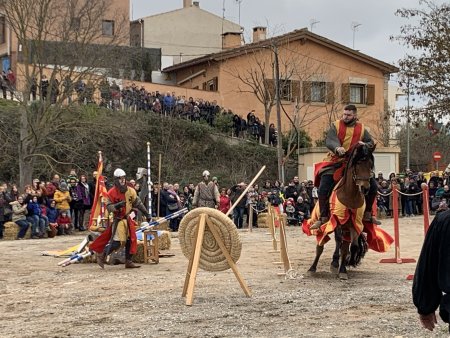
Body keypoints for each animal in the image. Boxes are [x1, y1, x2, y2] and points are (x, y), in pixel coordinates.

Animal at [308, 143, 374, 280]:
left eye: (370, 164)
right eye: (357, 163)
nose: (365, 188)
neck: (350, 195)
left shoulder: (354, 223)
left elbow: (352, 246)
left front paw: (347, 263)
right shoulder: (337, 219)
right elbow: (338, 240)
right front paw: (336, 264)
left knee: (343, 245)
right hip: (324, 224)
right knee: (321, 246)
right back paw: (313, 268)